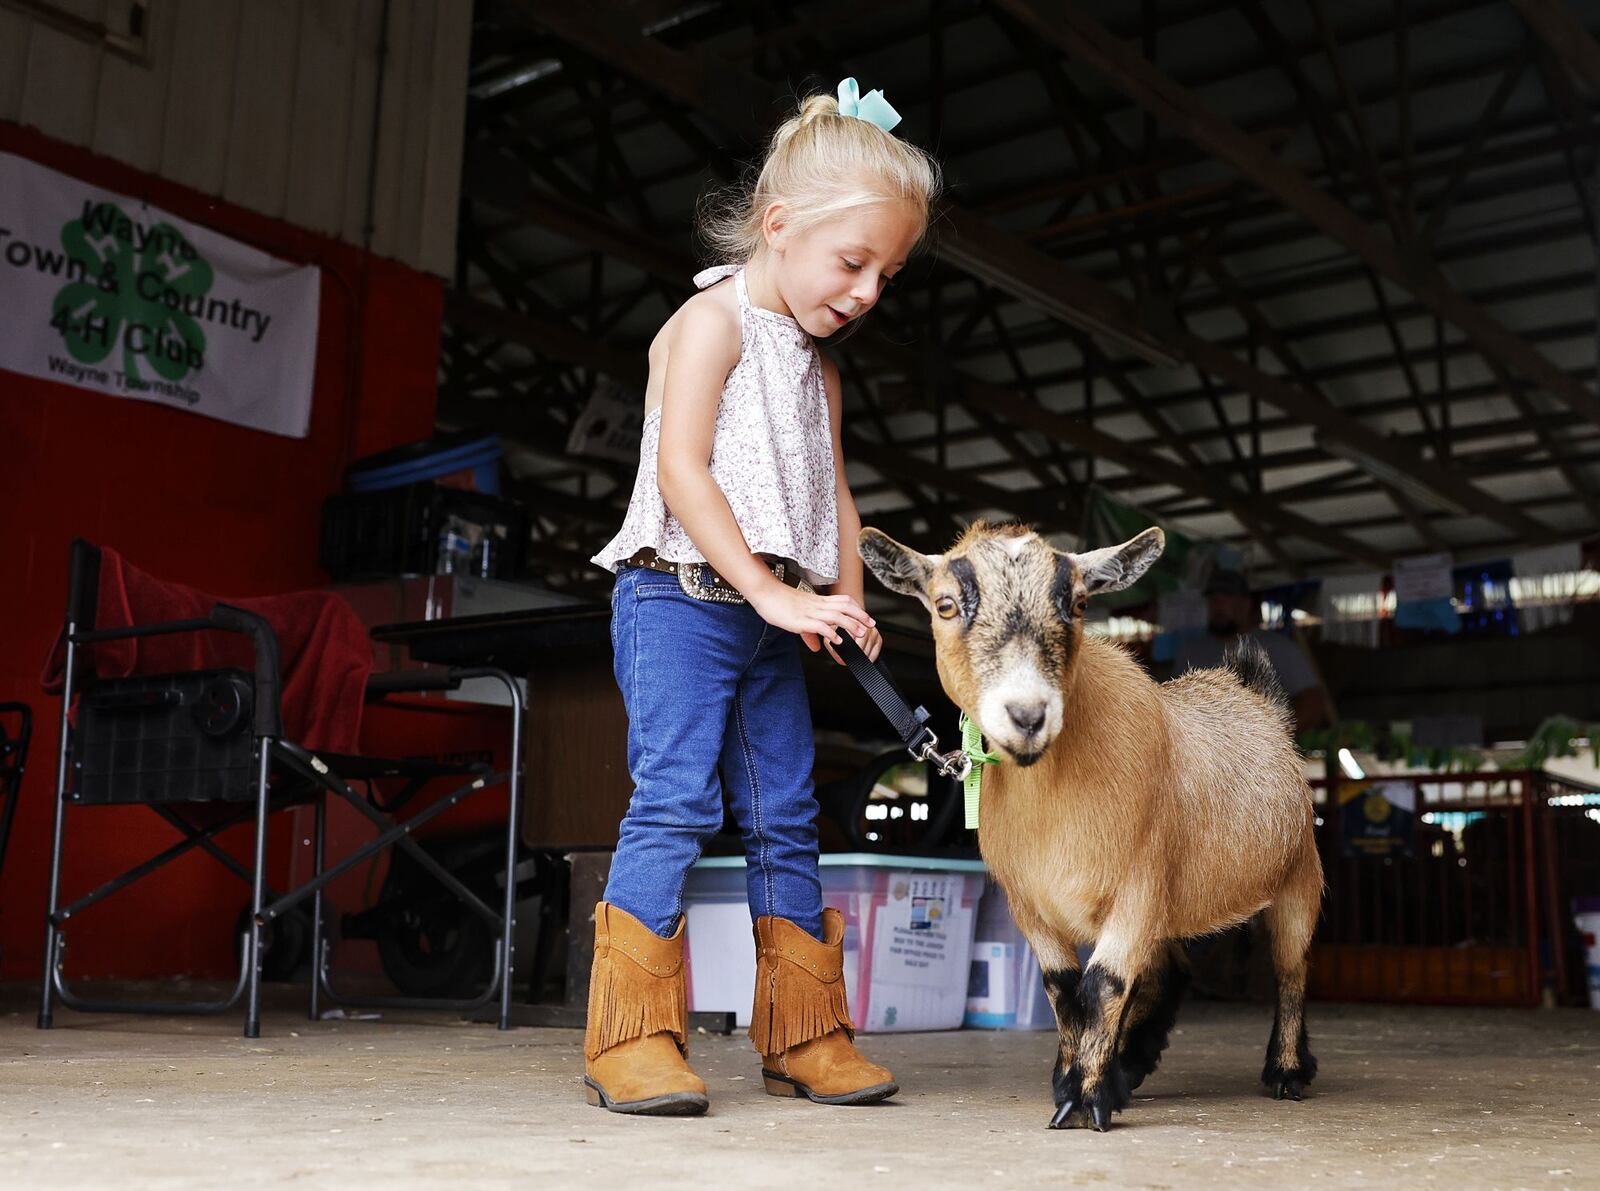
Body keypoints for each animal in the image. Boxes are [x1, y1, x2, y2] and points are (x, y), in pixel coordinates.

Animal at [864, 518, 1324, 1126]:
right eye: (945, 605)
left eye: (1078, 604)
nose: (1027, 715)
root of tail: (1254, 694)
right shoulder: (1030, 903)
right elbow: (1063, 989)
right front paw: (1074, 1083)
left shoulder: (1140, 884)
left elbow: (1103, 985)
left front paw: (1086, 1101)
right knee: (1167, 970)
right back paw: (1131, 1064)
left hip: (1299, 877)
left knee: (1292, 969)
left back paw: (1287, 1071)